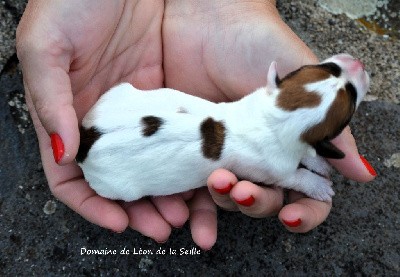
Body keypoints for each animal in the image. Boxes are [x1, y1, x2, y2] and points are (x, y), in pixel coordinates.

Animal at [76, 53, 370, 201]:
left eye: (329, 67)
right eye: (352, 97)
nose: (359, 63)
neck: (271, 118)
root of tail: (84, 142)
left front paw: (318, 162)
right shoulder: (274, 171)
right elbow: (295, 177)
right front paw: (318, 185)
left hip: (118, 93)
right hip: (114, 186)